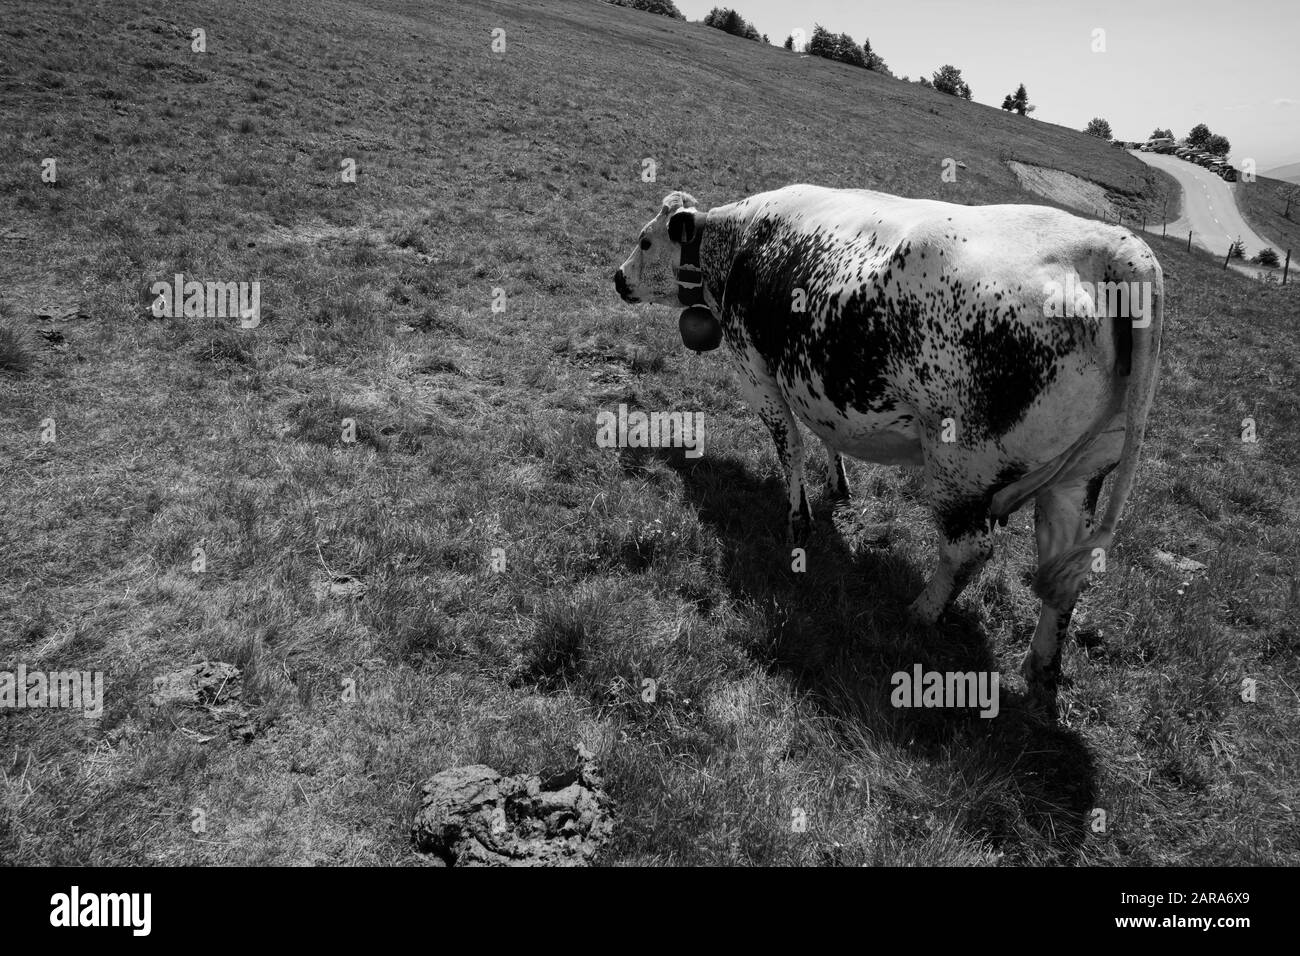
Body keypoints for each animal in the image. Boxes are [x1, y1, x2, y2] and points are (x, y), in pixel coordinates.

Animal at [613, 184, 1164, 697]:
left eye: (645, 241)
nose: (618, 278)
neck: (737, 241)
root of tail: (1110, 243)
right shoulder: (816, 379)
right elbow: (823, 436)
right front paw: (837, 486)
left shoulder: (754, 367)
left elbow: (789, 445)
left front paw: (798, 519)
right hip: (1078, 477)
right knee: (1064, 577)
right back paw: (1041, 667)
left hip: (958, 467)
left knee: (970, 550)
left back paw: (920, 612)